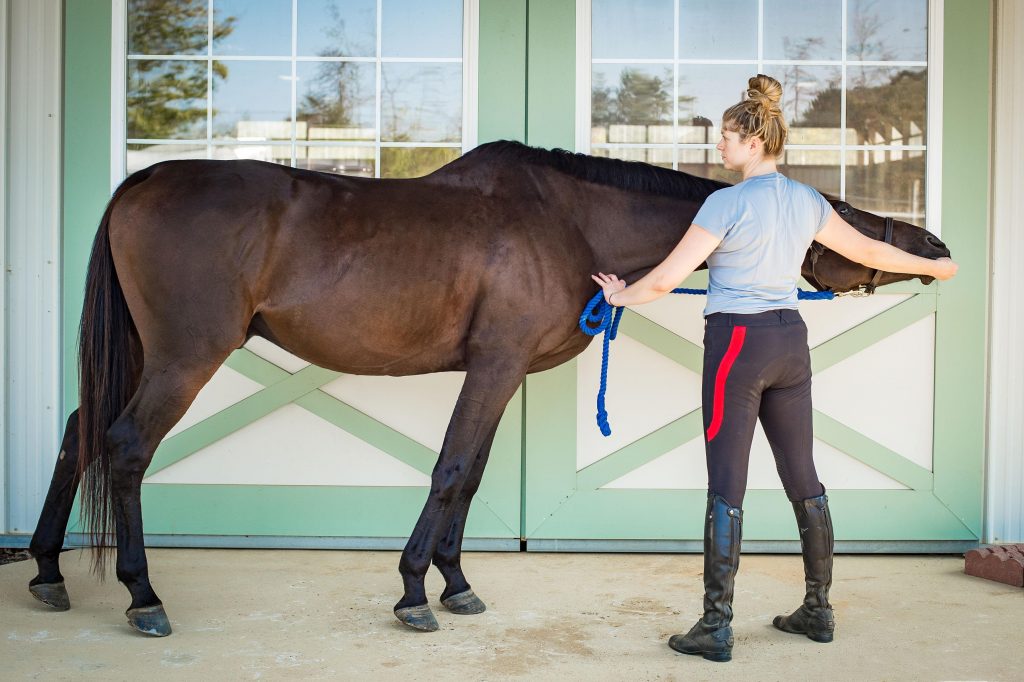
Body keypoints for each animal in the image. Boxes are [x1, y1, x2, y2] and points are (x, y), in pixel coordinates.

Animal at [26, 140, 951, 636]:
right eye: (843, 216)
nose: (935, 248)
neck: (566, 222)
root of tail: (145, 179)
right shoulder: (495, 366)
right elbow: (447, 470)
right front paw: (412, 594)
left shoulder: (501, 375)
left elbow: (468, 478)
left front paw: (456, 583)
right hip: (186, 356)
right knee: (125, 448)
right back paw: (142, 595)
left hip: (141, 353)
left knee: (78, 431)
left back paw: (45, 573)